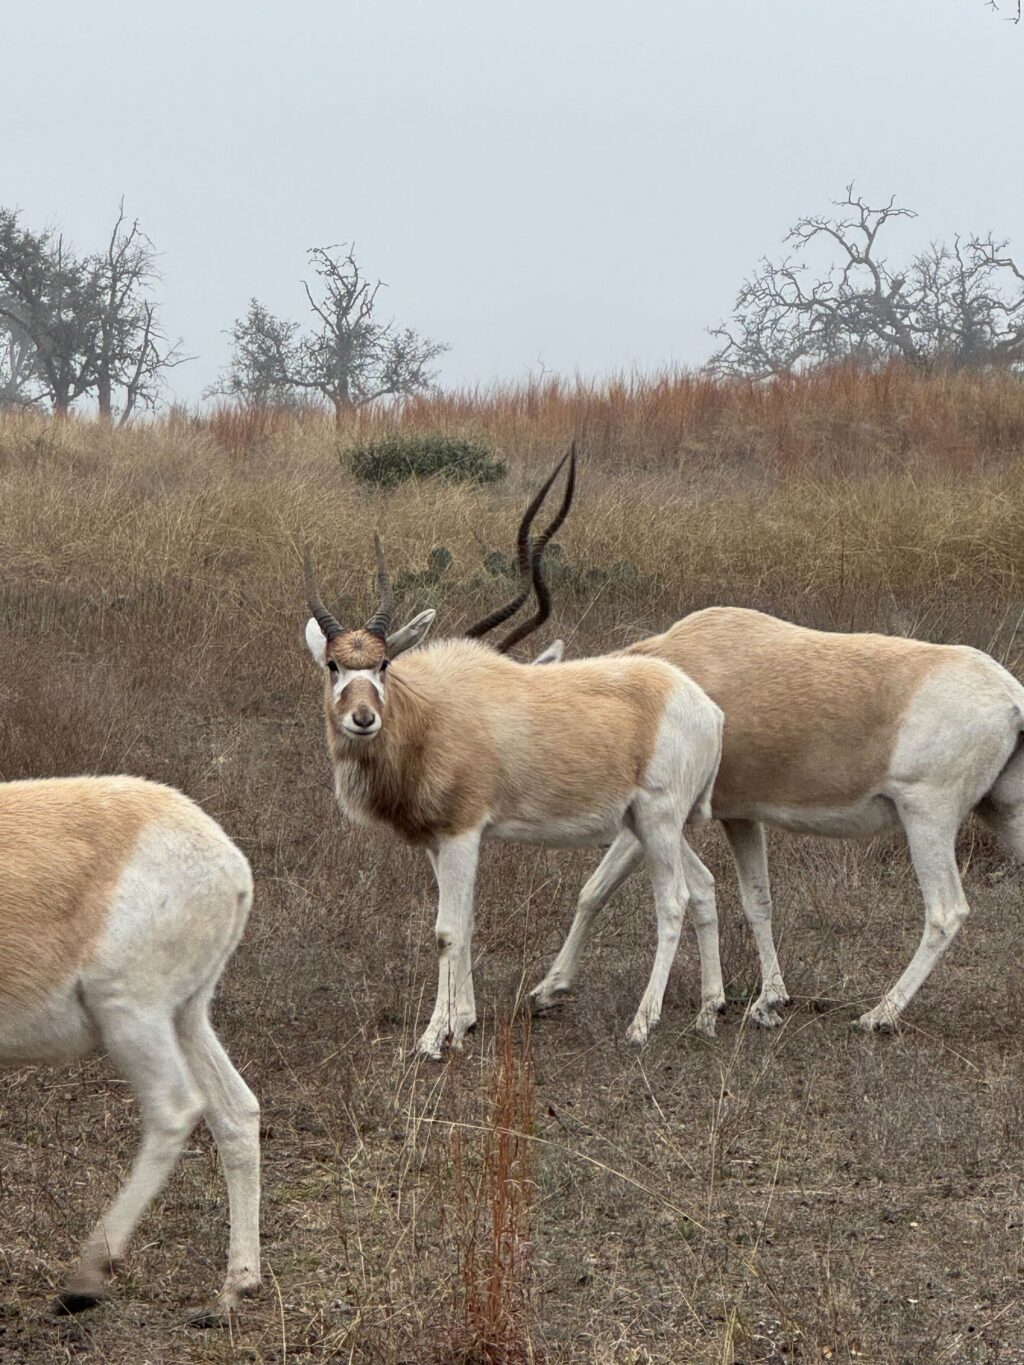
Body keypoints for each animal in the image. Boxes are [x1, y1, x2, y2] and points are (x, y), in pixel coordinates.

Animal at [2, 786, 258, 1315]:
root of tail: (231, 866)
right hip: (187, 1017)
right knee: (237, 1110)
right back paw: (234, 1289)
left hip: (131, 1015)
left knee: (175, 1110)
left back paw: (84, 1281)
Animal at [300, 455, 726, 1053]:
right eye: (333, 665)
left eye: (382, 664)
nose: (363, 719)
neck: (430, 711)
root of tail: (705, 709)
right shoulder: (438, 843)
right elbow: (466, 924)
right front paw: (463, 1020)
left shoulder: (462, 834)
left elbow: (447, 931)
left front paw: (433, 1038)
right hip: (650, 824)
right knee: (705, 888)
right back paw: (710, 1012)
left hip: (660, 821)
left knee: (674, 902)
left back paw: (642, 1025)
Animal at [532, 611, 1024, 1031]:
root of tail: (1012, 698)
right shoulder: (741, 816)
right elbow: (757, 900)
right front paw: (768, 1002)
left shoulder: (658, 817)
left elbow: (595, 889)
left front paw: (549, 988)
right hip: (1004, 814)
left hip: (927, 816)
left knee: (945, 911)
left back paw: (877, 1016)